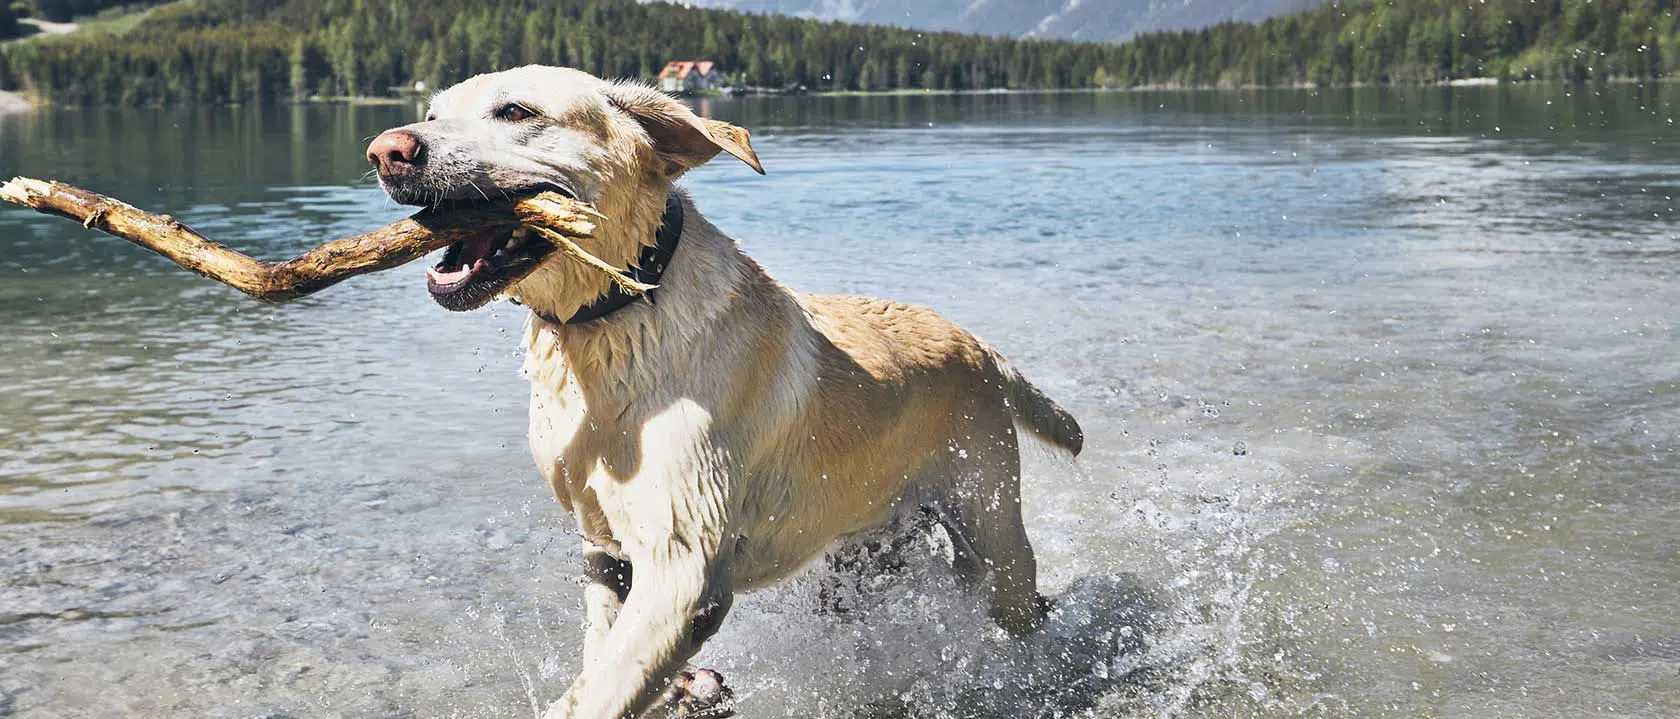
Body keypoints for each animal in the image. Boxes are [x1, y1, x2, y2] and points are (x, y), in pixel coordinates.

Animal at [361, 65, 1081, 719]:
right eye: (431, 111)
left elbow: (599, 691)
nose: (386, 151)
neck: (616, 317)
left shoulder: (683, 566)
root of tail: (979, 346)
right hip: (861, 556)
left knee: (1026, 602)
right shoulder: (605, 552)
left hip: (993, 531)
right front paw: (682, 691)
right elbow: (603, 654)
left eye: (515, 111)